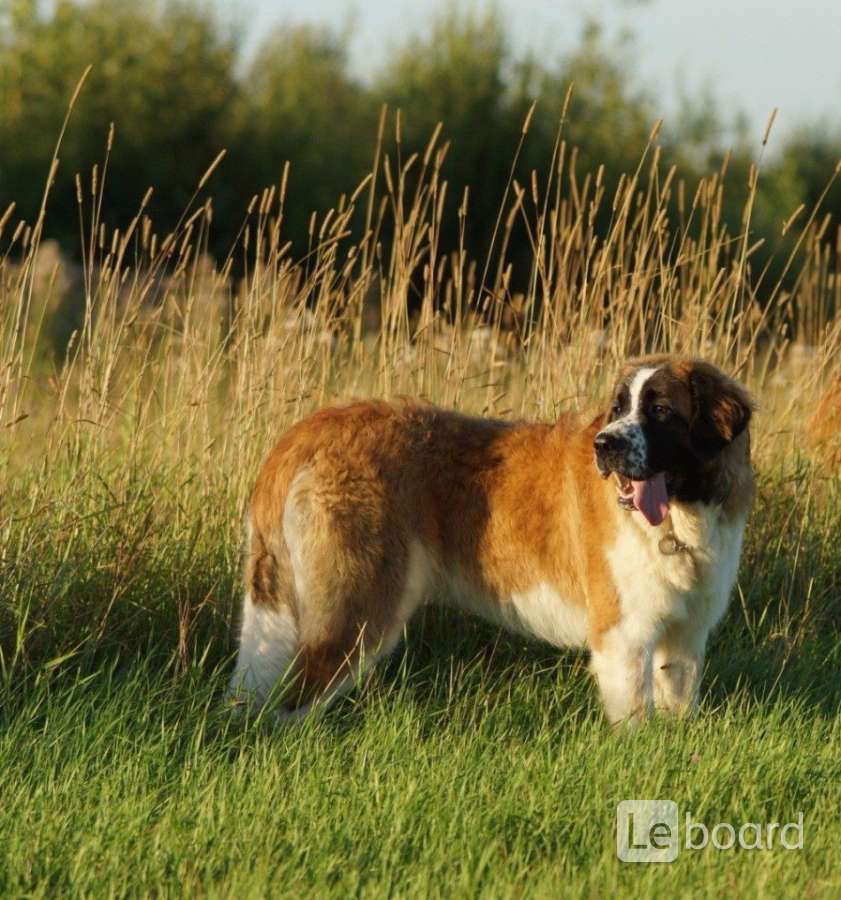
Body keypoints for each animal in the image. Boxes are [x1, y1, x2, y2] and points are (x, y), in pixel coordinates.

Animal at [230, 356, 756, 720]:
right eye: (618, 408)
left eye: (661, 410)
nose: (603, 445)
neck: (681, 517)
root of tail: (306, 431)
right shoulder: (624, 635)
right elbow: (635, 713)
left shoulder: (685, 635)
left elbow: (677, 702)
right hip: (357, 611)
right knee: (293, 702)